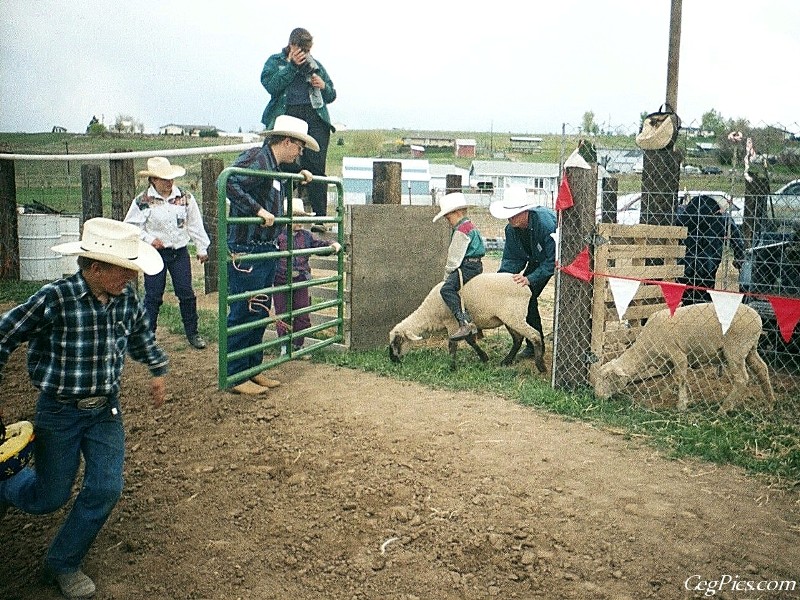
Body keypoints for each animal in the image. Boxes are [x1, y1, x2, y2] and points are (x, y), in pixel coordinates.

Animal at [386, 274, 548, 376]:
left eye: (397, 341)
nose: (393, 360)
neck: (429, 313)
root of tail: (526, 287)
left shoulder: (452, 322)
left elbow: (452, 345)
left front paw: (451, 367)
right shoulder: (465, 325)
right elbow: (470, 341)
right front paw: (484, 357)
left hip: (515, 316)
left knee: (534, 335)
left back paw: (541, 366)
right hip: (509, 318)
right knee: (518, 339)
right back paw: (506, 361)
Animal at [592, 302, 776, 414]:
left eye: (607, 378)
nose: (597, 397)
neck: (647, 348)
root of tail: (757, 318)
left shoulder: (678, 354)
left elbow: (680, 378)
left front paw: (681, 404)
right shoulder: (666, 360)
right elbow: (670, 377)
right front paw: (664, 396)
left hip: (735, 350)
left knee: (741, 379)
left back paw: (723, 409)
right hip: (749, 349)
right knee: (762, 369)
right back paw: (770, 403)